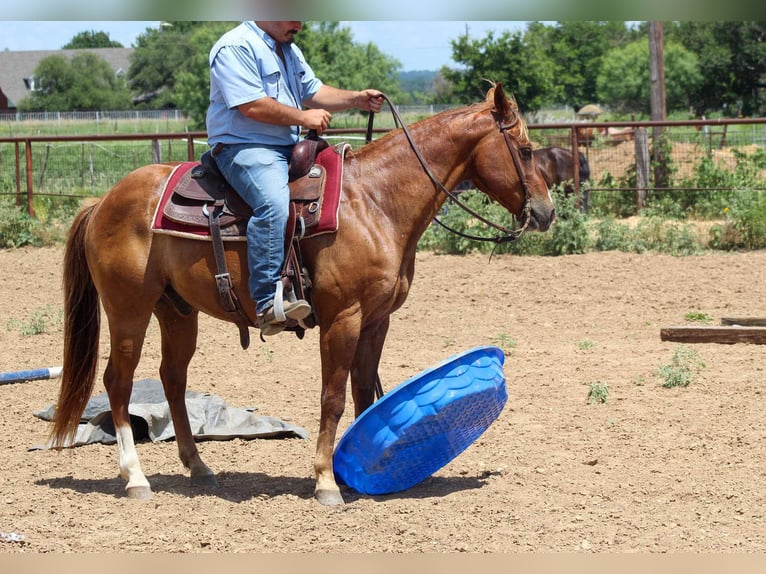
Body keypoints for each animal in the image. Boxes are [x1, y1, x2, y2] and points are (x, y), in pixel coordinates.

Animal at [50, 83, 555, 506]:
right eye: (526, 150)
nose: (547, 212)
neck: (374, 203)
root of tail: (104, 200)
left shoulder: (377, 319)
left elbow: (363, 393)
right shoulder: (342, 318)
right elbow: (332, 396)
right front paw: (326, 482)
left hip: (177, 312)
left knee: (172, 380)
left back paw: (199, 466)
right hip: (128, 310)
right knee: (118, 381)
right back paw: (135, 477)